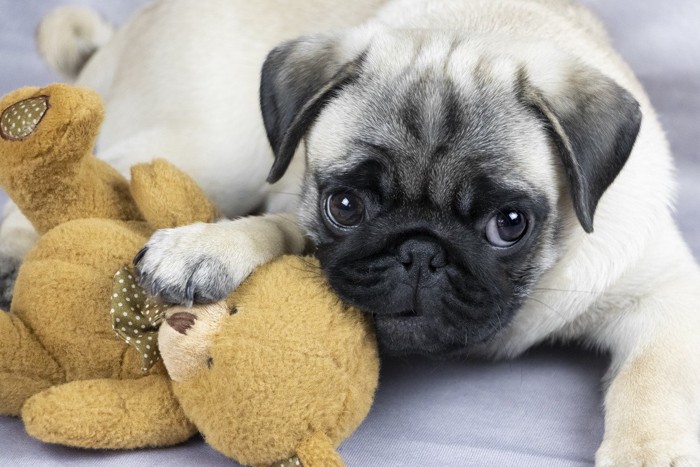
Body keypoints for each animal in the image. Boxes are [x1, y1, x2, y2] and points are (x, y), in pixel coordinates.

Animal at [135, 0, 700, 464]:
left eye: (509, 224)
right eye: (344, 206)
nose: (421, 252)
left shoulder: (666, 291)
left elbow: (651, 375)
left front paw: (646, 452)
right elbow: (278, 224)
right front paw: (207, 246)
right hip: (220, 154)